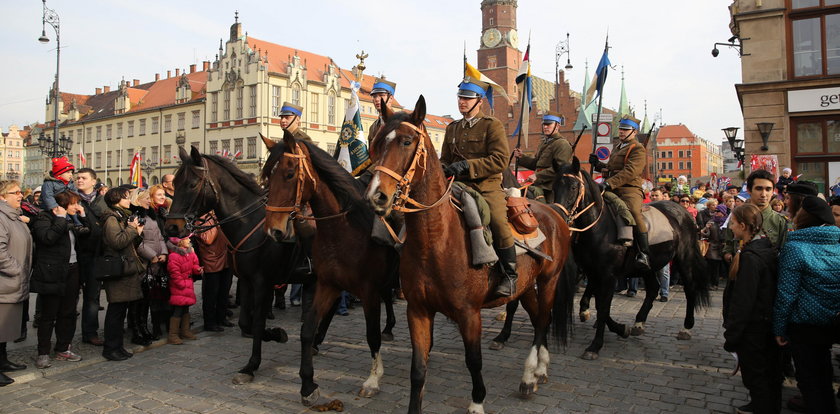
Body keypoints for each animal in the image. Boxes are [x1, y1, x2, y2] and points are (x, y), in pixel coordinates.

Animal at [260, 131, 402, 406]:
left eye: (290, 174)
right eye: (267, 177)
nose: (274, 230)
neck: (344, 228)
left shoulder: (367, 291)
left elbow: (371, 335)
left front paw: (373, 379)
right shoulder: (327, 284)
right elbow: (307, 329)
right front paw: (307, 385)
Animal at [364, 96, 576, 414]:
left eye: (406, 141)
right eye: (376, 144)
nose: (376, 196)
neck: (436, 240)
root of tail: (554, 212)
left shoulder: (469, 314)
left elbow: (473, 361)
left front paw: (477, 402)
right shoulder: (418, 311)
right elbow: (418, 369)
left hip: (549, 280)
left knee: (541, 323)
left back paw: (529, 376)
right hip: (526, 286)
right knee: (540, 316)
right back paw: (540, 368)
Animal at [556, 158, 712, 360]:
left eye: (574, 186)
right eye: (554, 184)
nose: (559, 215)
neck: (599, 227)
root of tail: (681, 210)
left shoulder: (608, 276)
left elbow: (603, 307)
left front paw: (595, 346)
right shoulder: (593, 272)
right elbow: (598, 304)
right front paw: (620, 328)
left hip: (684, 258)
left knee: (690, 287)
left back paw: (686, 327)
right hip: (648, 266)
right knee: (652, 288)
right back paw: (638, 323)